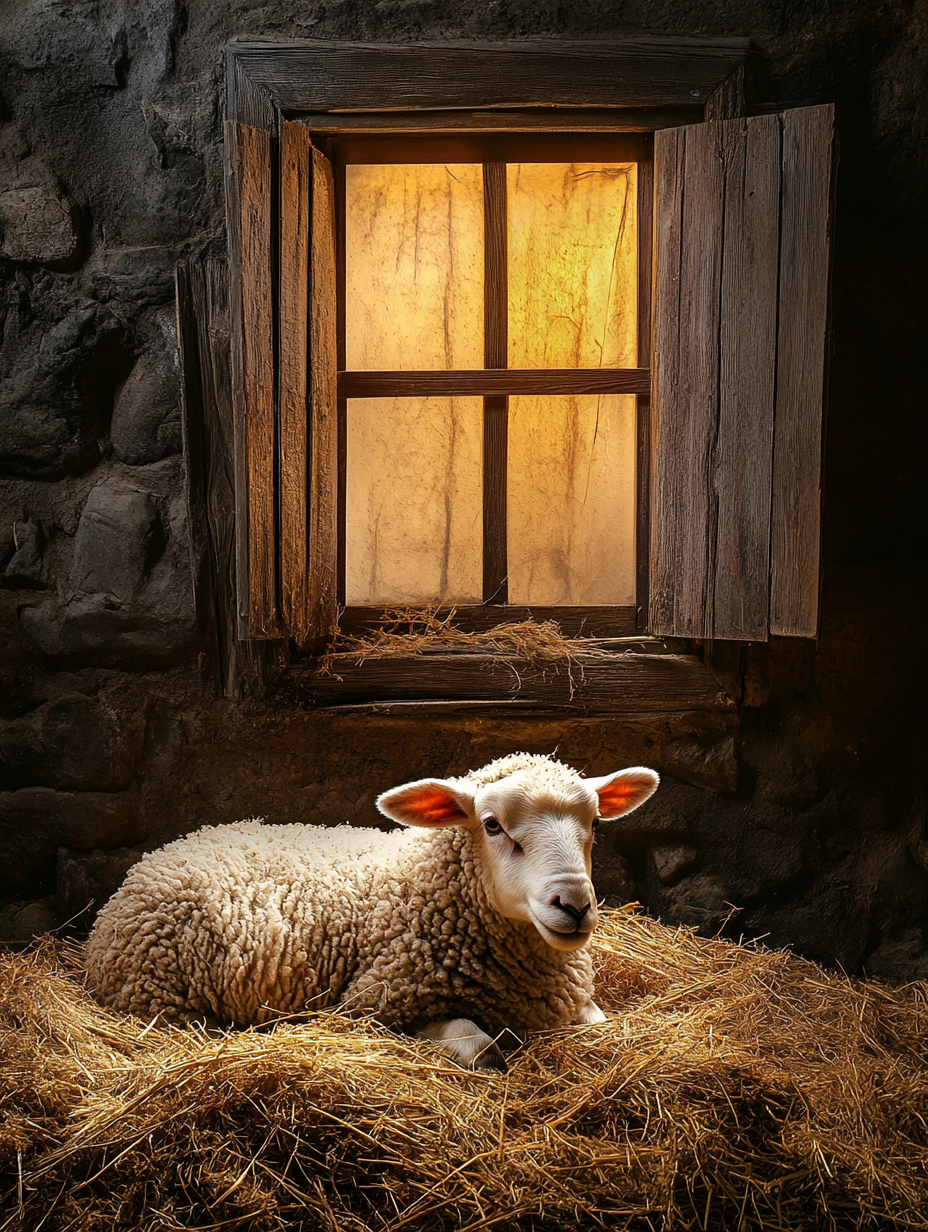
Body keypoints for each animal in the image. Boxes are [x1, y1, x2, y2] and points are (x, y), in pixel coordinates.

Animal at [83, 749, 655, 1069]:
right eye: (492, 824)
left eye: (596, 823)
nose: (574, 905)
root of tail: (169, 848)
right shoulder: (373, 1005)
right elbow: (479, 1046)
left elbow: (601, 1026)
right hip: (159, 996)